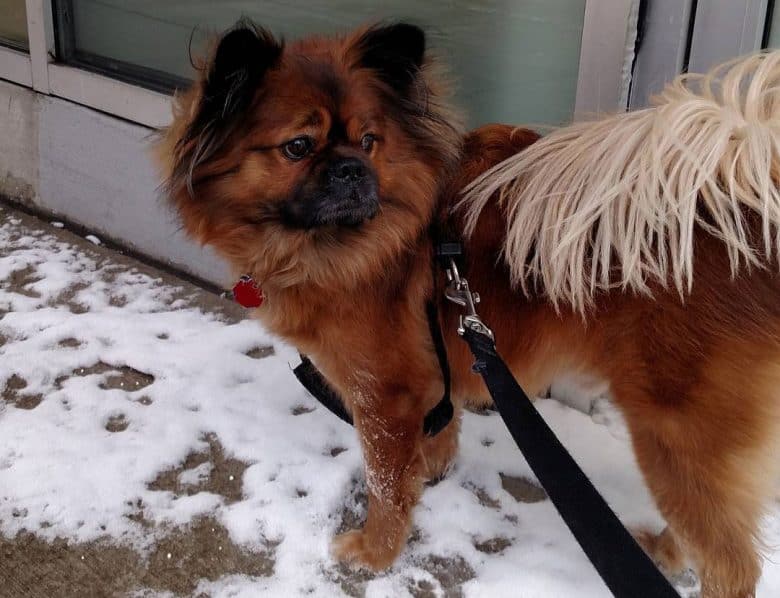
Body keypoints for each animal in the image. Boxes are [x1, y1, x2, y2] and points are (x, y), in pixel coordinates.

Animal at [157, 22, 780, 598]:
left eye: (368, 141)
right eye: (297, 147)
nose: (353, 170)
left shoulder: (382, 393)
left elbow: (385, 481)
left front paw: (376, 551)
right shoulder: (437, 367)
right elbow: (438, 430)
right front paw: (432, 470)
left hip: (677, 437)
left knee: (731, 563)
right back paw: (664, 552)